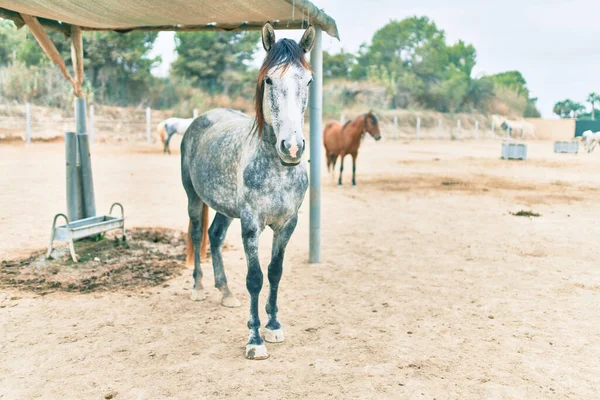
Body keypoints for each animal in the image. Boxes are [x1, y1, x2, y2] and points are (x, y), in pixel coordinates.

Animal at [180, 22, 316, 360]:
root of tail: (201, 119)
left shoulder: (287, 224)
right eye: (269, 79)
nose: (292, 147)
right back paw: (199, 288)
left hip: (225, 209)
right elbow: (255, 278)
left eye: (308, 80)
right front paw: (255, 340)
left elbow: (275, 272)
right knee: (198, 234)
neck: (278, 170)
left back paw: (226, 292)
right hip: (193, 197)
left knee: (215, 236)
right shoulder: (251, 224)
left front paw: (274, 326)